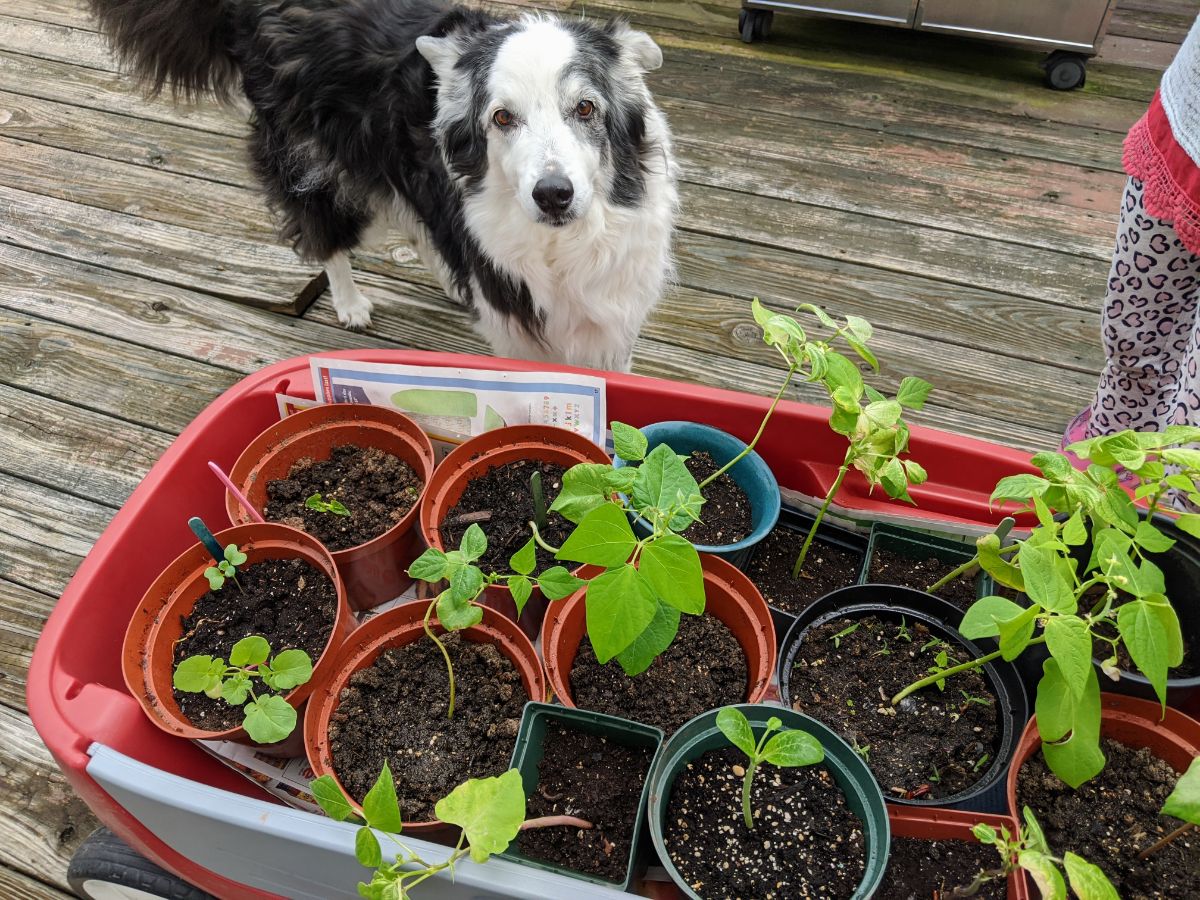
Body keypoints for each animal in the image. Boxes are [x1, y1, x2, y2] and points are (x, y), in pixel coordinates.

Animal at [90, 0, 681, 369]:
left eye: (585, 108)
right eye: (501, 118)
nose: (553, 195)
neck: (562, 245)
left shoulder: (615, 311)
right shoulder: (517, 321)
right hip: (310, 160)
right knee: (326, 233)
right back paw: (350, 303)